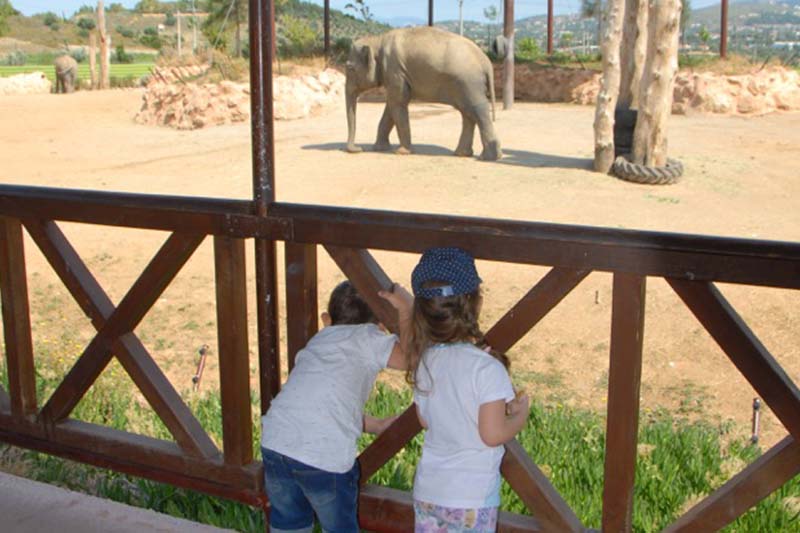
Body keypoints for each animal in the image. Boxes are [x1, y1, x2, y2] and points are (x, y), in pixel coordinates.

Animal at [344, 25, 500, 160]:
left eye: (350, 68)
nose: (358, 149)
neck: (377, 40)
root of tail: (487, 62)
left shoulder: (394, 71)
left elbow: (398, 103)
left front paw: (402, 152)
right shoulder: (393, 75)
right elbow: (391, 106)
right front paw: (380, 148)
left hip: (469, 83)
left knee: (477, 111)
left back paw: (488, 157)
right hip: (465, 86)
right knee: (467, 113)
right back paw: (462, 154)